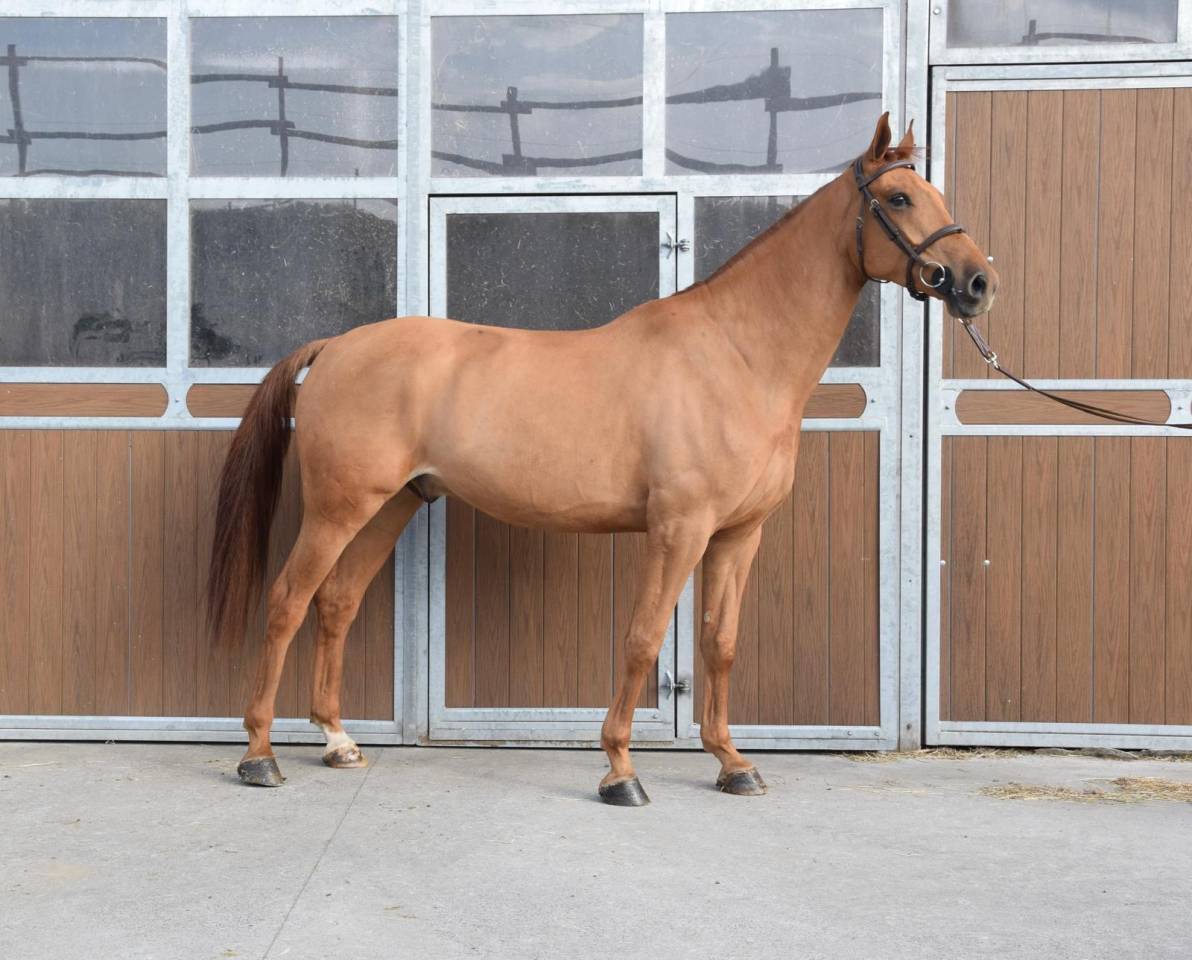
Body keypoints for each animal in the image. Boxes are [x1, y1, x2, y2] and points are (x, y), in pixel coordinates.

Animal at [207, 113, 997, 804]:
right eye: (899, 197)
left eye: (936, 193)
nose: (977, 282)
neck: (735, 357)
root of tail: (334, 347)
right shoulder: (678, 530)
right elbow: (643, 640)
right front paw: (620, 770)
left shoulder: (738, 535)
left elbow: (720, 643)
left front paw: (733, 763)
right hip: (338, 509)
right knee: (287, 602)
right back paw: (259, 756)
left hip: (393, 503)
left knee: (336, 603)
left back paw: (339, 742)